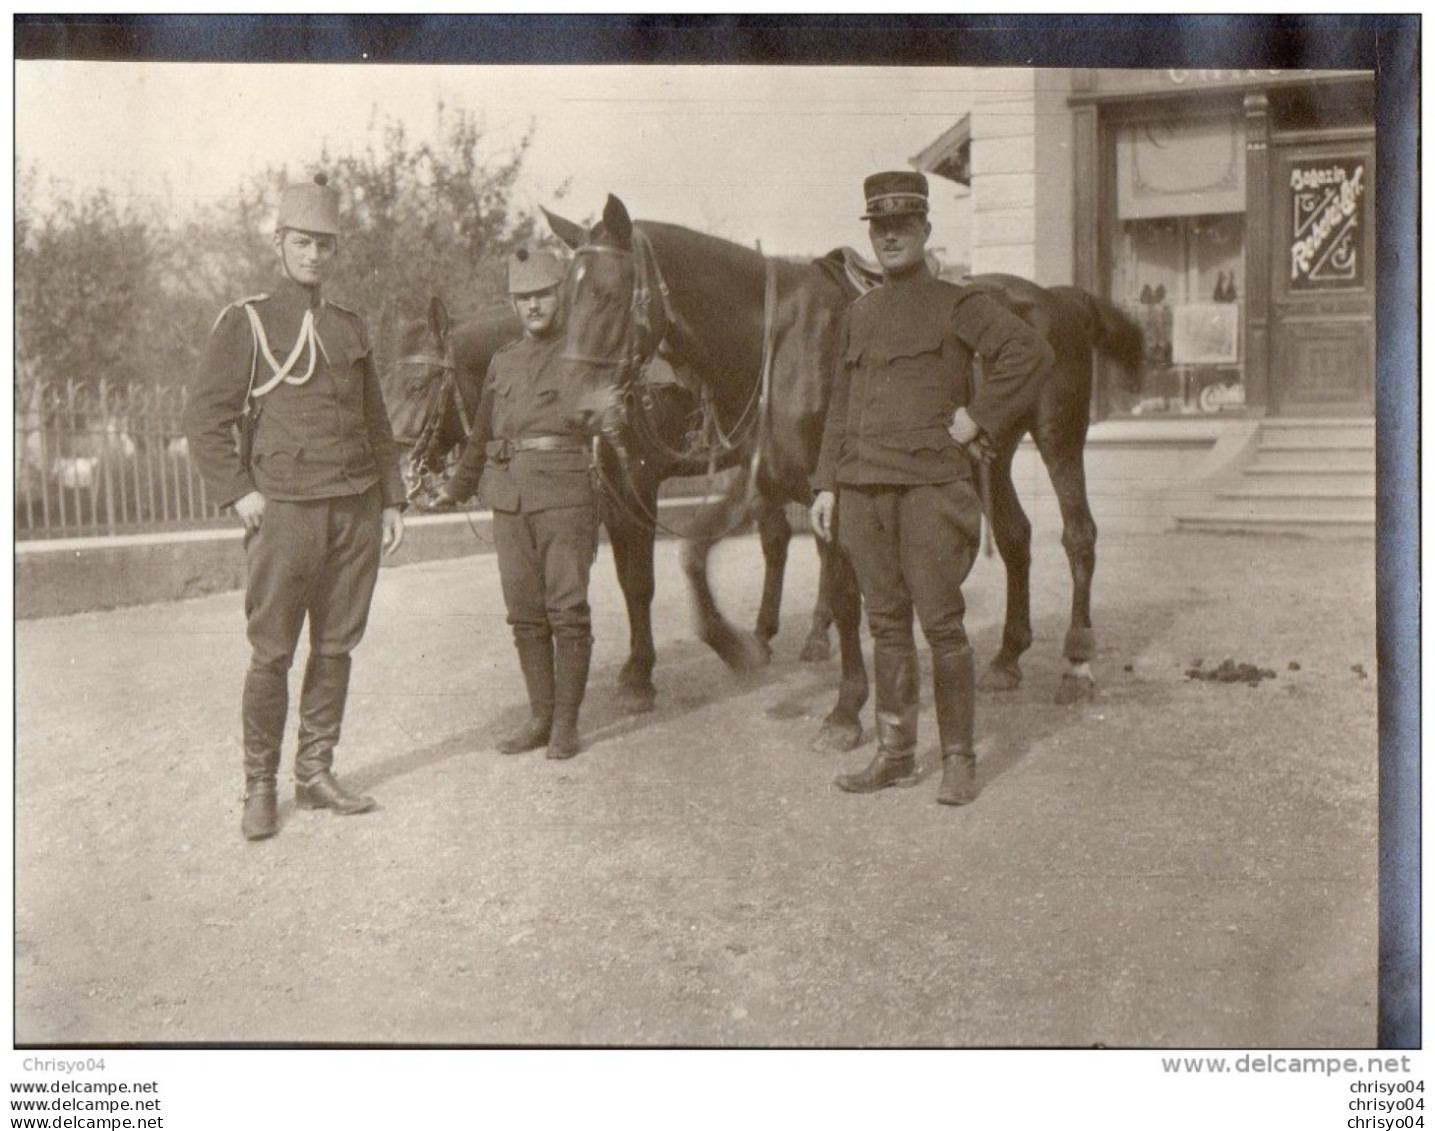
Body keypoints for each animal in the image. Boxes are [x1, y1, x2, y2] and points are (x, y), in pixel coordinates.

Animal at [381, 291, 832, 714]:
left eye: (418, 386)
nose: (402, 474)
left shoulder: (639, 487)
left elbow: (642, 583)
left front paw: (640, 679)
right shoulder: (614, 497)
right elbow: (628, 585)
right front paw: (636, 670)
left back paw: (815, 636)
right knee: (778, 538)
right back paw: (764, 635)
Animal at [548, 198, 1142, 752]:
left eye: (607, 295)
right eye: (563, 303)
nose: (578, 411)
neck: (776, 341)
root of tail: (1058, 298)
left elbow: (840, 594)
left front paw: (844, 710)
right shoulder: (764, 479)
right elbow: (695, 553)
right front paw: (735, 645)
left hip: (1058, 438)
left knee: (1078, 536)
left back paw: (1076, 665)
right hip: (994, 452)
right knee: (1017, 537)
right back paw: (1006, 657)